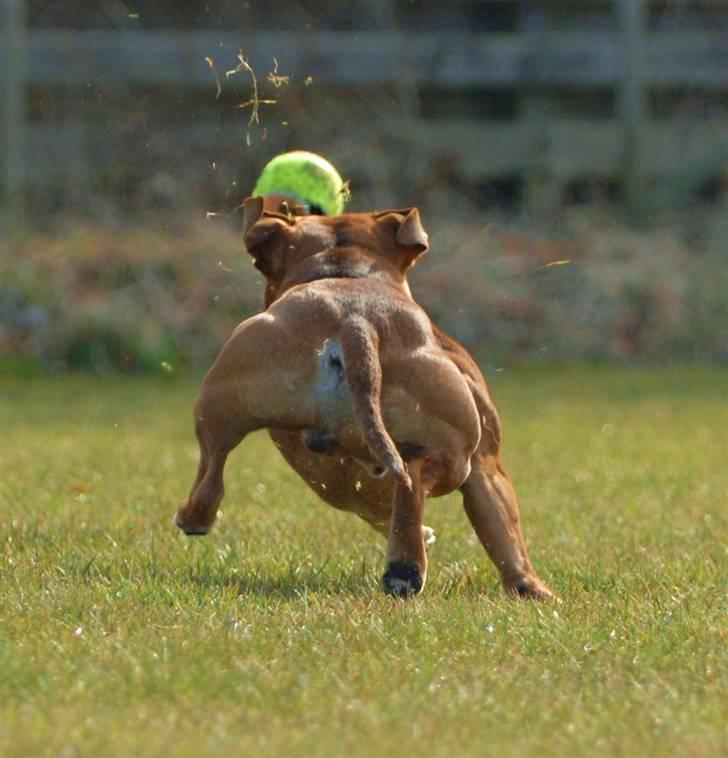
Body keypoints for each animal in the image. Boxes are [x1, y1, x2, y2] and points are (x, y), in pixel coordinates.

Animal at [176, 199, 552, 604]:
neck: (348, 272)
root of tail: (356, 322)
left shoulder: (329, 469)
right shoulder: (486, 463)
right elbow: (506, 535)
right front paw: (532, 588)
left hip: (223, 396)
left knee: (212, 469)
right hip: (455, 455)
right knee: (412, 479)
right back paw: (406, 565)